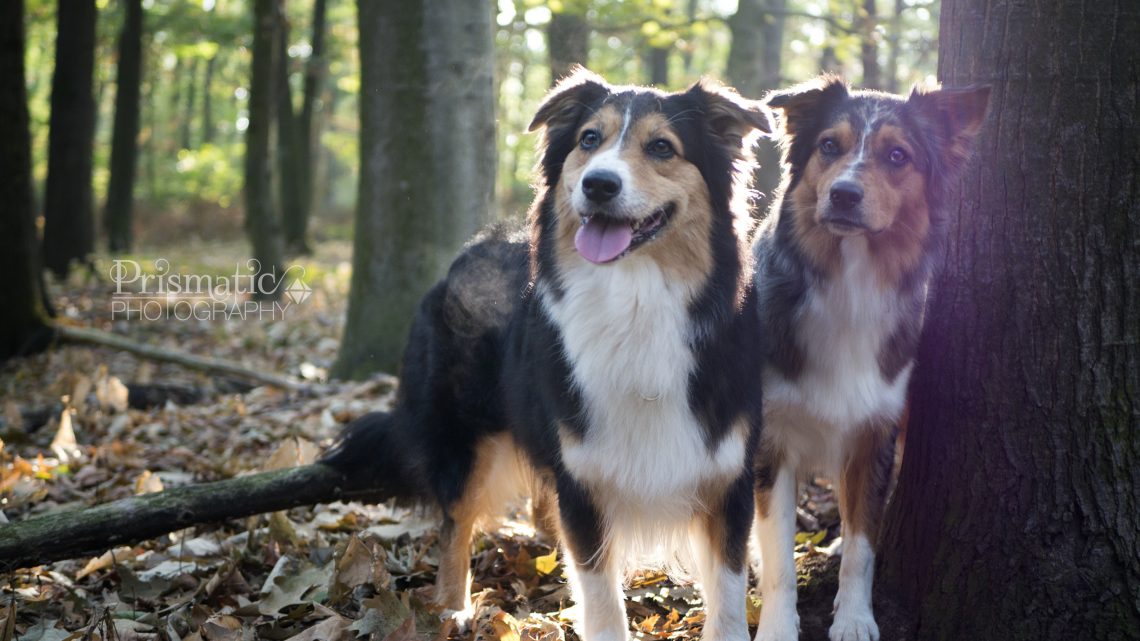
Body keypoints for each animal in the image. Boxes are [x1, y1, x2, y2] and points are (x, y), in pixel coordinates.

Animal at [326, 69, 770, 638]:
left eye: (662, 147)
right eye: (589, 139)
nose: (598, 184)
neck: (636, 303)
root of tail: (469, 252)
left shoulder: (728, 477)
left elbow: (730, 594)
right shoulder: (582, 481)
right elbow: (602, 601)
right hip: (465, 434)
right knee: (455, 518)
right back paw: (453, 606)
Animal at [747, 75, 989, 638]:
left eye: (898, 156)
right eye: (828, 146)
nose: (844, 193)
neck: (849, 283)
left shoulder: (873, 433)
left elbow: (864, 544)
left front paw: (855, 618)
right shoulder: (771, 440)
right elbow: (779, 554)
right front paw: (777, 625)